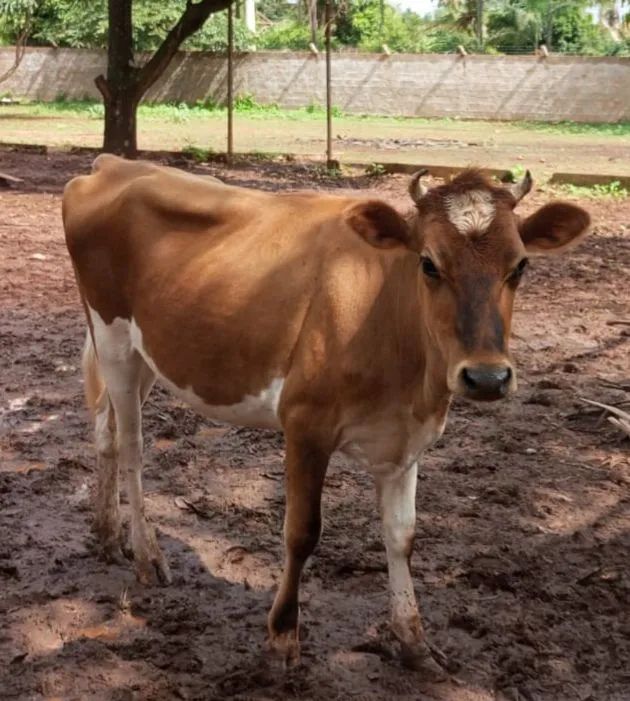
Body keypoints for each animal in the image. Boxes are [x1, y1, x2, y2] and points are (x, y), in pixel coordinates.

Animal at [62, 155, 590, 679]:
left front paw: (413, 640)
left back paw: (106, 534)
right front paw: (282, 636)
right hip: (113, 336)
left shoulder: (408, 439)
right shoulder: (305, 423)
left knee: (106, 427)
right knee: (131, 446)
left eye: (520, 265)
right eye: (428, 263)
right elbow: (302, 532)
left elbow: (402, 536)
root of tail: (113, 163)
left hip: (147, 352)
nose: (486, 377)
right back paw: (146, 555)